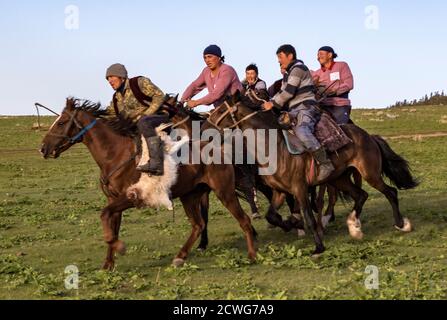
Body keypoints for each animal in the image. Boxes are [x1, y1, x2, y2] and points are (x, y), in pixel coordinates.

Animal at [40, 98, 258, 270]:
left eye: (61, 122)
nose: (43, 148)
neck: (115, 154)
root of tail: (220, 150)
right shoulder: (113, 200)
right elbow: (111, 223)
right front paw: (108, 264)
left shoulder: (130, 197)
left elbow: (104, 216)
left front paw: (119, 247)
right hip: (190, 196)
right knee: (198, 225)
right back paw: (180, 257)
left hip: (224, 192)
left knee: (244, 220)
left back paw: (252, 255)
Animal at [206, 92, 420, 255]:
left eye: (220, 110)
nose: (206, 126)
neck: (274, 148)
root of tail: (368, 136)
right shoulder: (280, 191)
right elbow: (272, 216)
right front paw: (290, 224)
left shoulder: (299, 189)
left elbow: (308, 217)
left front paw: (318, 246)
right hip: (340, 179)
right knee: (361, 195)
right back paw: (354, 227)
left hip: (370, 174)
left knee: (390, 192)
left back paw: (401, 224)